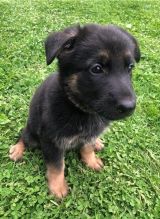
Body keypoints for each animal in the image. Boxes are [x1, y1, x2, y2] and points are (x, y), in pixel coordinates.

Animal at [9, 24, 141, 198]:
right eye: (97, 69)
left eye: (130, 67)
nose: (130, 107)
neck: (79, 107)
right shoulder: (52, 141)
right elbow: (57, 166)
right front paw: (57, 188)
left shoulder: (89, 135)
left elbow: (87, 148)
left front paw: (91, 161)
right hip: (32, 131)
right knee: (24, 136)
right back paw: (17, 150)